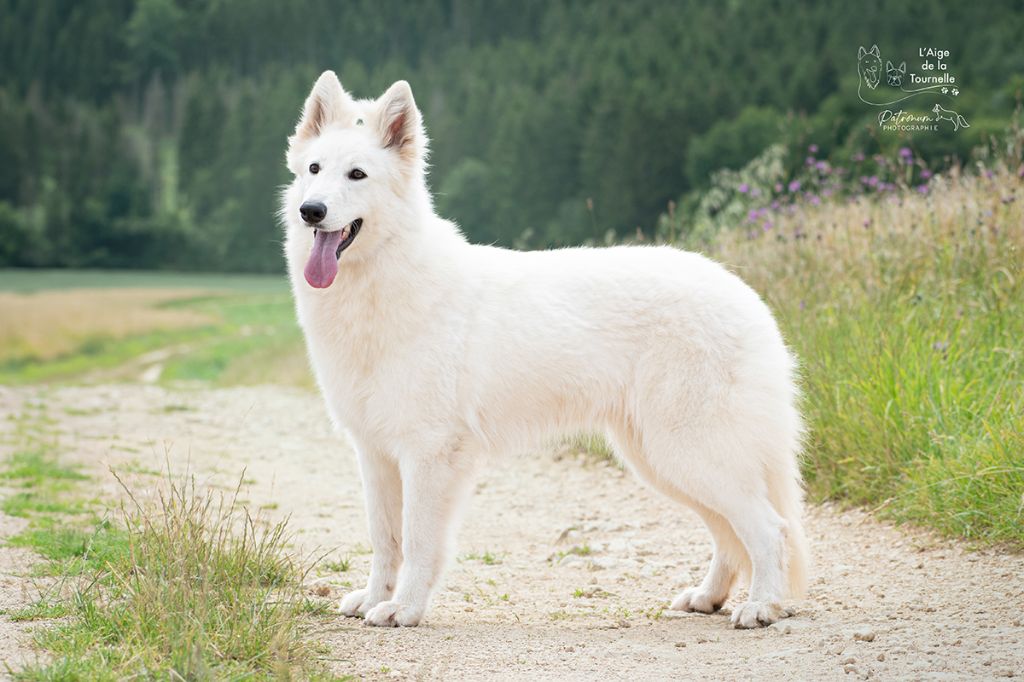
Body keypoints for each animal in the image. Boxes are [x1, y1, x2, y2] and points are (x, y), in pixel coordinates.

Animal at [282, 70, 806, 626]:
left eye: (357, 175)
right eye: (314, 169)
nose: (311, 210)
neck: (383, 279)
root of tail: (746, 296)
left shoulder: (428, 453)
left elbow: (419, 540)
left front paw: (404, 608)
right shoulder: (375, 454)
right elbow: (385, 539)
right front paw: (374, 598)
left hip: (690, 452)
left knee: (769, 529)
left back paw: (761, 606)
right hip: (662, 460)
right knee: (731, 535)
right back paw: (710, 597)